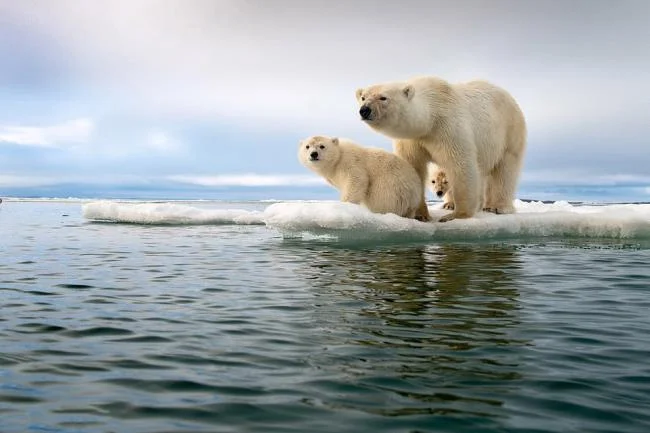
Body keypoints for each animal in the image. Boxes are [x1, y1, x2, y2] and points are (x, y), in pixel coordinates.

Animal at [356, 76, 527, 222]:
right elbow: (414, 168)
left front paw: (457, 215)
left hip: (509, 132)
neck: (430, 117)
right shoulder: (412, 140)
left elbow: (461, 165)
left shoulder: (448, 127)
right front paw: (421, 215)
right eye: (363, 97)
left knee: (505, 169)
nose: (364, 110)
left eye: (383, 97)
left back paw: (497, 207)